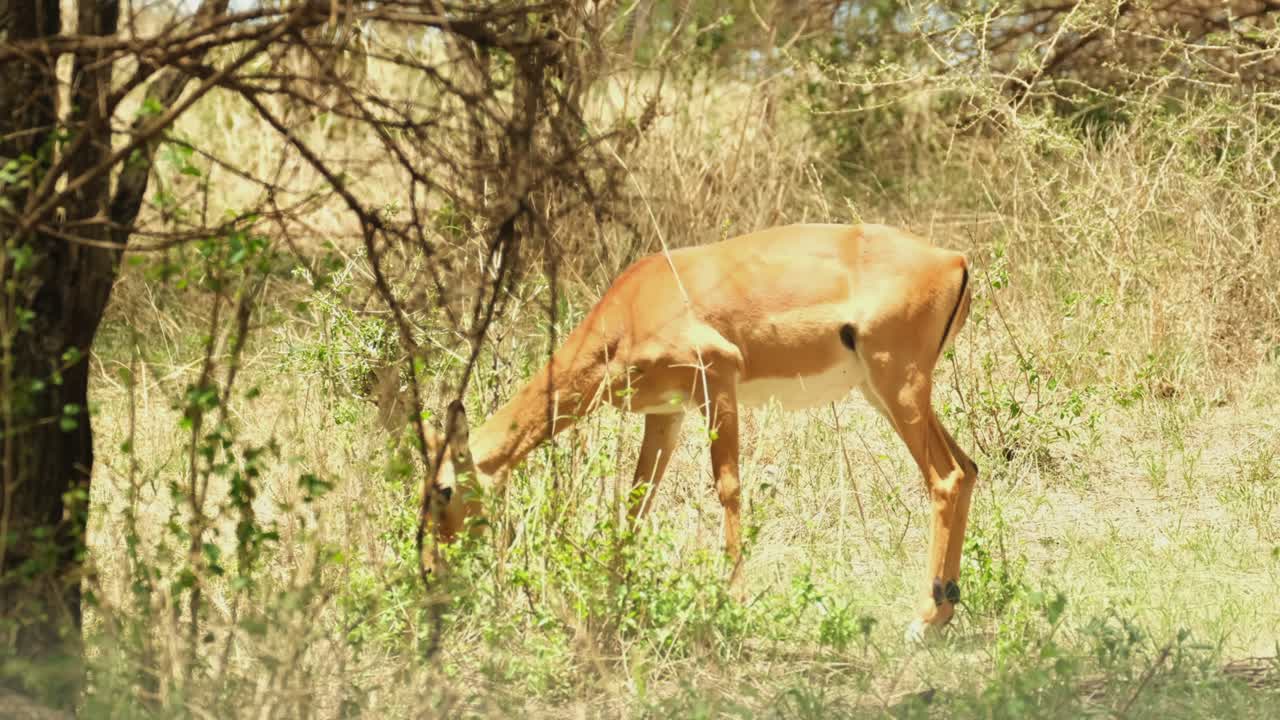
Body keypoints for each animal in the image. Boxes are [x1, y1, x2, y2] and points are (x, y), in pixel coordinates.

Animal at [423, 223, 977, 640]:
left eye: (443, 489)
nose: (430, 570)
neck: (629, 310)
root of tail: (953, 260)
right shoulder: (666, 413)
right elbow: (638, 498)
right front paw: (617, 594)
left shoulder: (718, 377)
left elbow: (727, 487)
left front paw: (734, 600)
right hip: (887, 394)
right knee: (969, 468)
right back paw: (944, 611)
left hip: (898, 387)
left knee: (945, 478)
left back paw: (923, 620)